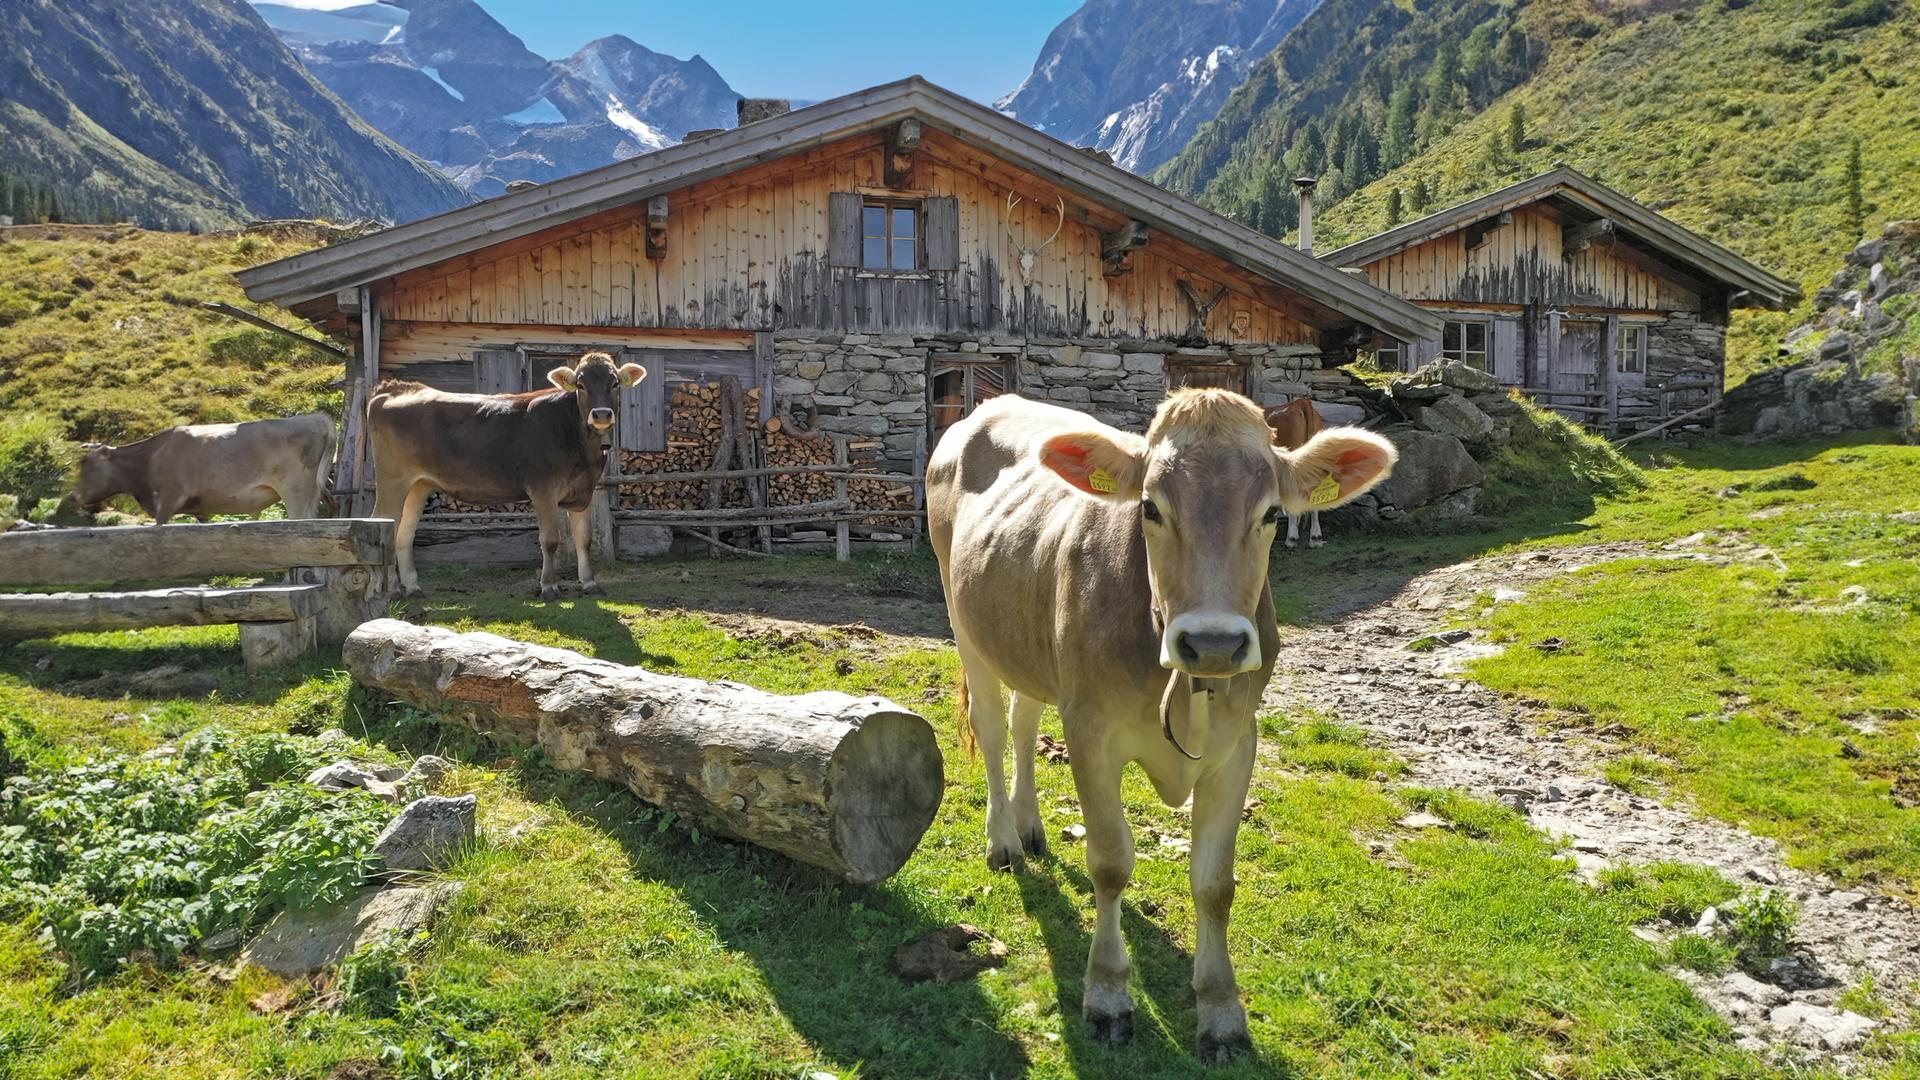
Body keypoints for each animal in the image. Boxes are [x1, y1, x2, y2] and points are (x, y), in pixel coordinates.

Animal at [73, 413, 334, 523]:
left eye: (86, 464)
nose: (73, 495)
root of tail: (315, 417)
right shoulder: (200, 510)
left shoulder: (168, 500)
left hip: (297, 492)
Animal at [368, 350, 646, 599]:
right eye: (580, 384)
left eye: (615, 383)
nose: (601, 414)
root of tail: (397, 389)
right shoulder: (543, 489)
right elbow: (550, 540)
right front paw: (549, 587)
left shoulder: (583, 492)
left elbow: (585, 539)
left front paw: (589, 583)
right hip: (393, 480)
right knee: (384, 526)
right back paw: (387, 590)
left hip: (419, 484)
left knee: (404, 533)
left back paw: (412, 588)